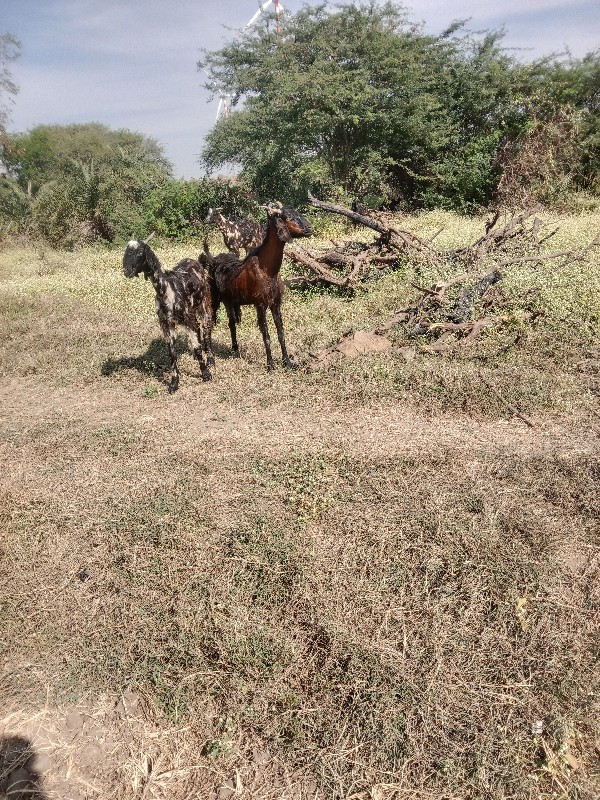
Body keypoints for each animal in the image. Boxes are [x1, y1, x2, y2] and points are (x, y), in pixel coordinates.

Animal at [123, 233, 214, 392]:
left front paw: (205, 374)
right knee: (199, 331)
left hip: (204, 306)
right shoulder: (166, 324)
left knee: (206, 331)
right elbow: (172, 353)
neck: (166, 289)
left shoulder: (187, 320)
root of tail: (197, 262)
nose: (126, 271)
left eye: (140, 253)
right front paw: (174, 382)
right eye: (126, 252)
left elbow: (197, 347)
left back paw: (209, 359)